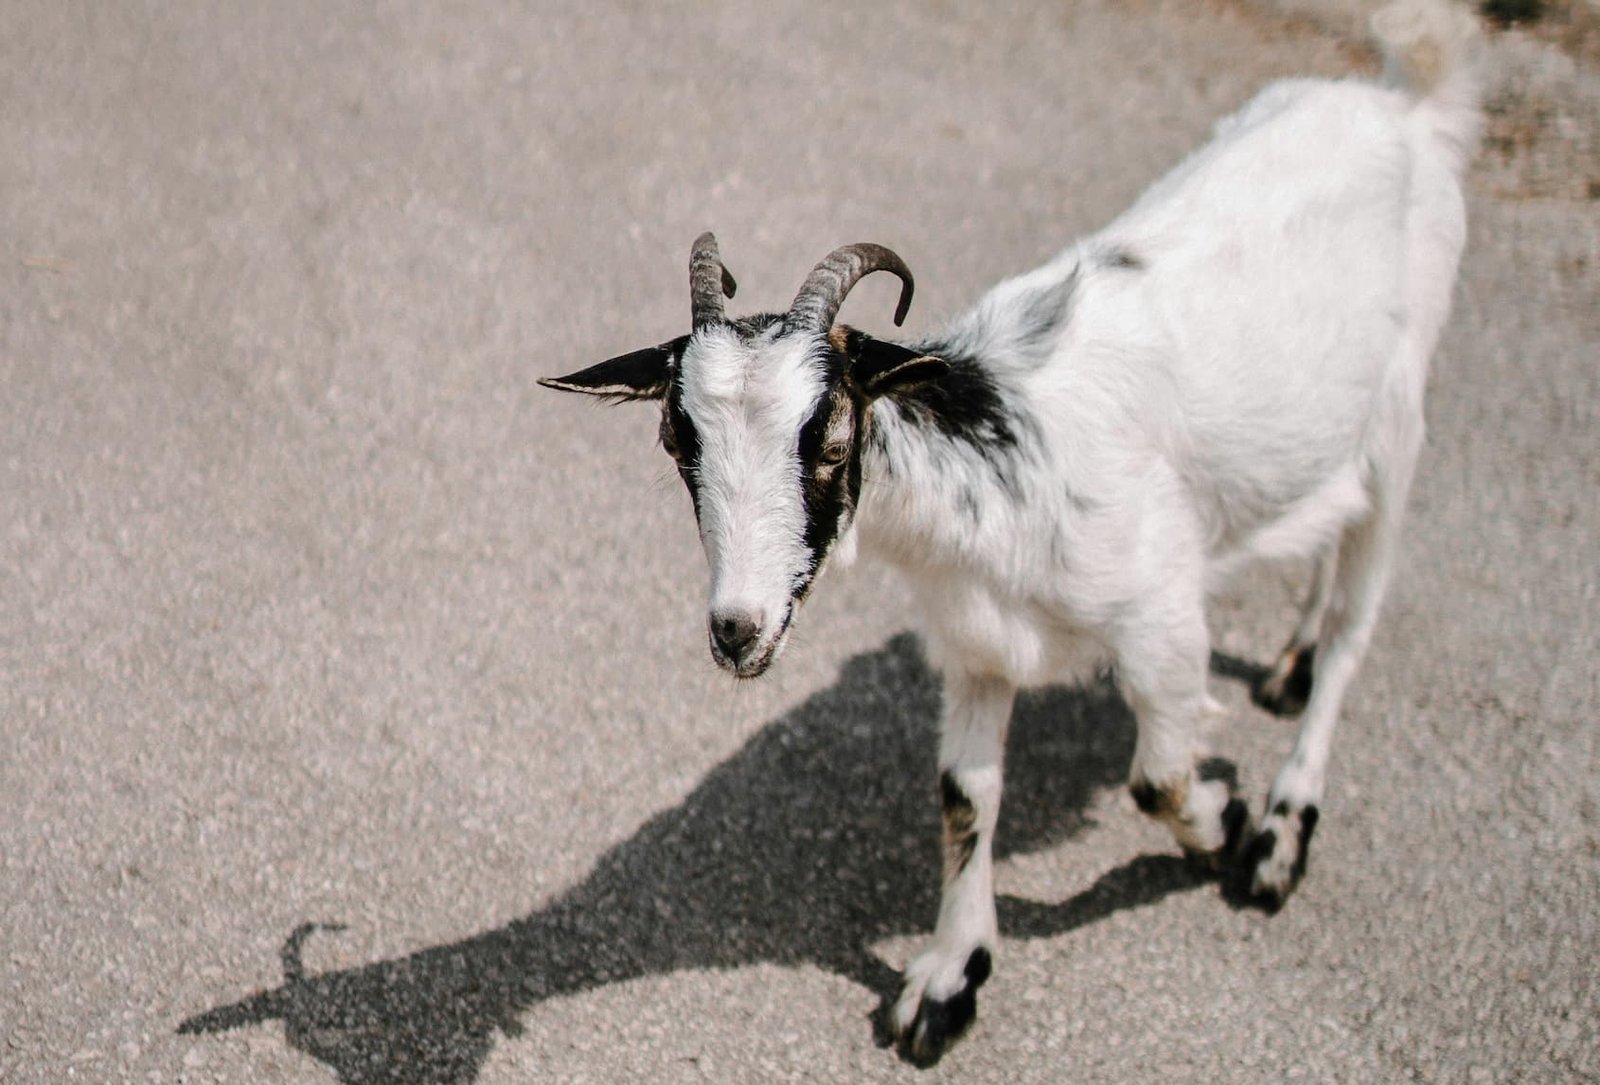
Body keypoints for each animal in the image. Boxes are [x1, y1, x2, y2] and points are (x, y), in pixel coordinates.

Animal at [544, 0, 1478, 1068]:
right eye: (676, 438)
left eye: (830, 435)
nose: (737, 629)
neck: (1002, 465)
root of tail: (1404, 104)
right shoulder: (978, 645)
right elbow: (965, 794)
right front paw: (949, 979)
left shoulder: (1162, 621)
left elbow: (1158, 777)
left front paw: (1226, 816)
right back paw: (1287, 662)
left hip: (1402, 416)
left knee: (1358, 630)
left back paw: (1282, 826)